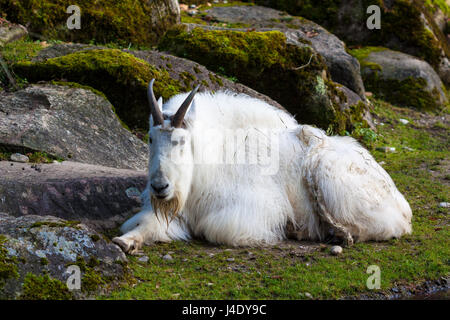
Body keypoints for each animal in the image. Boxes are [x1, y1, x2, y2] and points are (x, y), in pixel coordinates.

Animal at [112, 79, 412, 254]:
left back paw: (332, 234)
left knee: (382, 228)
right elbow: (145, 224)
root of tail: (401, 203)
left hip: (327, 176)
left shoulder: (251, 209)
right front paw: (125, 242)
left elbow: (214, 228)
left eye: (181, 140)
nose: (160, 187)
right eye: (151, 138)